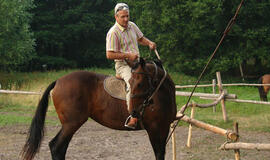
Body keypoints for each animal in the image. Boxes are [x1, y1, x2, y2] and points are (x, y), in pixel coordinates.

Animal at [21, 57, 177, 160]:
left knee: (60, 147)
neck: (162, 94)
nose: (134, 112)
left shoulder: (163, 128)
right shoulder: (154, 128)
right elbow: (158, 154)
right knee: (56, 147)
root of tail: (58, 81)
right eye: (130, 83)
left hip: (69, 125)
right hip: (71, 124)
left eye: (139, 84)